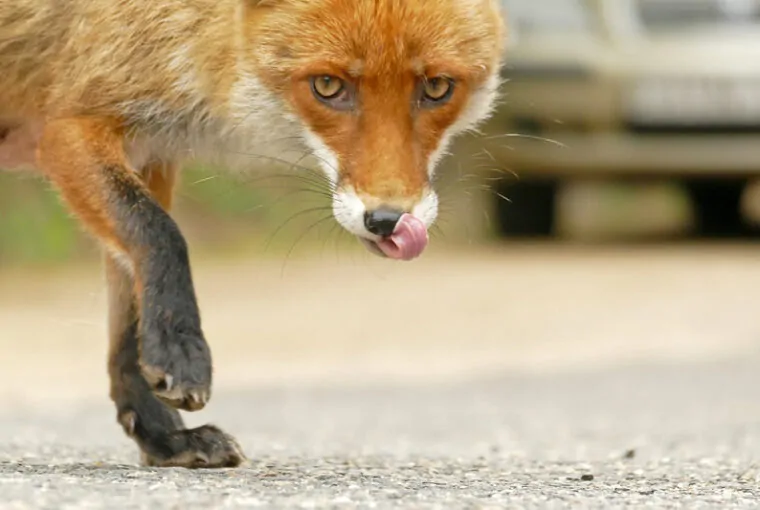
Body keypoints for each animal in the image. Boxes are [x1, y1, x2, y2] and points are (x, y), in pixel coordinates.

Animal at [0, 0, 504, 468]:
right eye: (327, 86)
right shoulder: (70, 127)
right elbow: (160, 234)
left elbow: (129, 322)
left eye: (437, 88)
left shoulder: (150, 152)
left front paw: (164, 438)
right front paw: (181, 352)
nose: (388, 220)